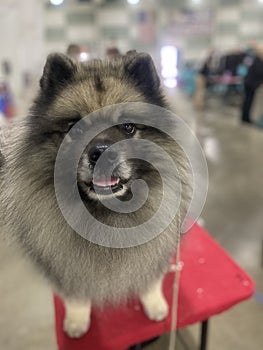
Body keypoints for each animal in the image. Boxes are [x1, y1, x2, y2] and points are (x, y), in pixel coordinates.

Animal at [0, 51, 192, 336]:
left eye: (128, 127)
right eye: (75, 127)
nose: (102, 152)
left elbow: (151, 278)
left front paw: (155, 304)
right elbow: (75, 294)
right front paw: (77, 319)